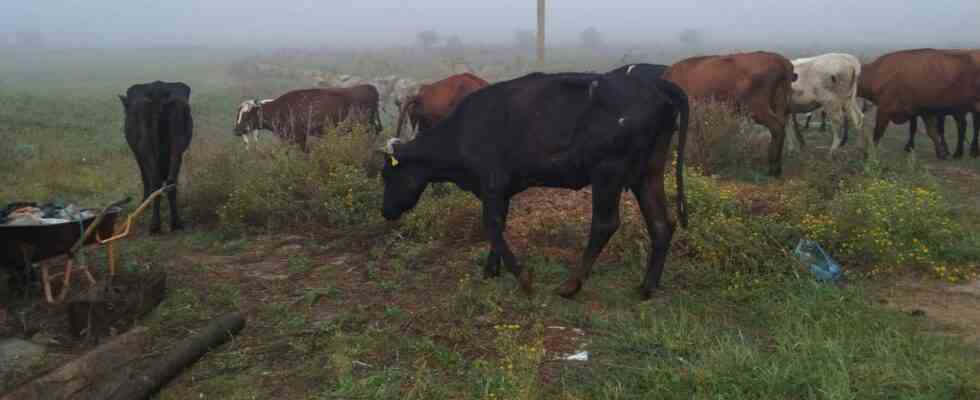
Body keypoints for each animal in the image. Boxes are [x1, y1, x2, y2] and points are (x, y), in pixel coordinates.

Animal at [118, 81, 193, 233]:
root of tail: (158, 88)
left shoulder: (137, 153)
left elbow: (144, 176)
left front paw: (144, 203)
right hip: (178, 145)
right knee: (170, 182)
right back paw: (176, 223)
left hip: (145, 147)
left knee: (155, 180)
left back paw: (154, 225)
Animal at [370, 71, 688, 296]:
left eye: (387, 175)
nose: (385, 211)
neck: (463, 130)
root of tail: (654, 85)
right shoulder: (501, 191)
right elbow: (499, 226)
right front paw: (491, 270)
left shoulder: (492, 184)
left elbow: (493, 227)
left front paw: (522, 277)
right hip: (647, 174)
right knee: (661, 223)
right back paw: (647, 286)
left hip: (607, 173)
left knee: (605, 224)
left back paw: (571, 285)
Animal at [668, 50, 796, 176]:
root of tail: (781, 60)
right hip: (779, 105)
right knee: (782, 126)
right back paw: (778, 168)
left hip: (757, 107)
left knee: (777, 127)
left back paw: (773, 168)